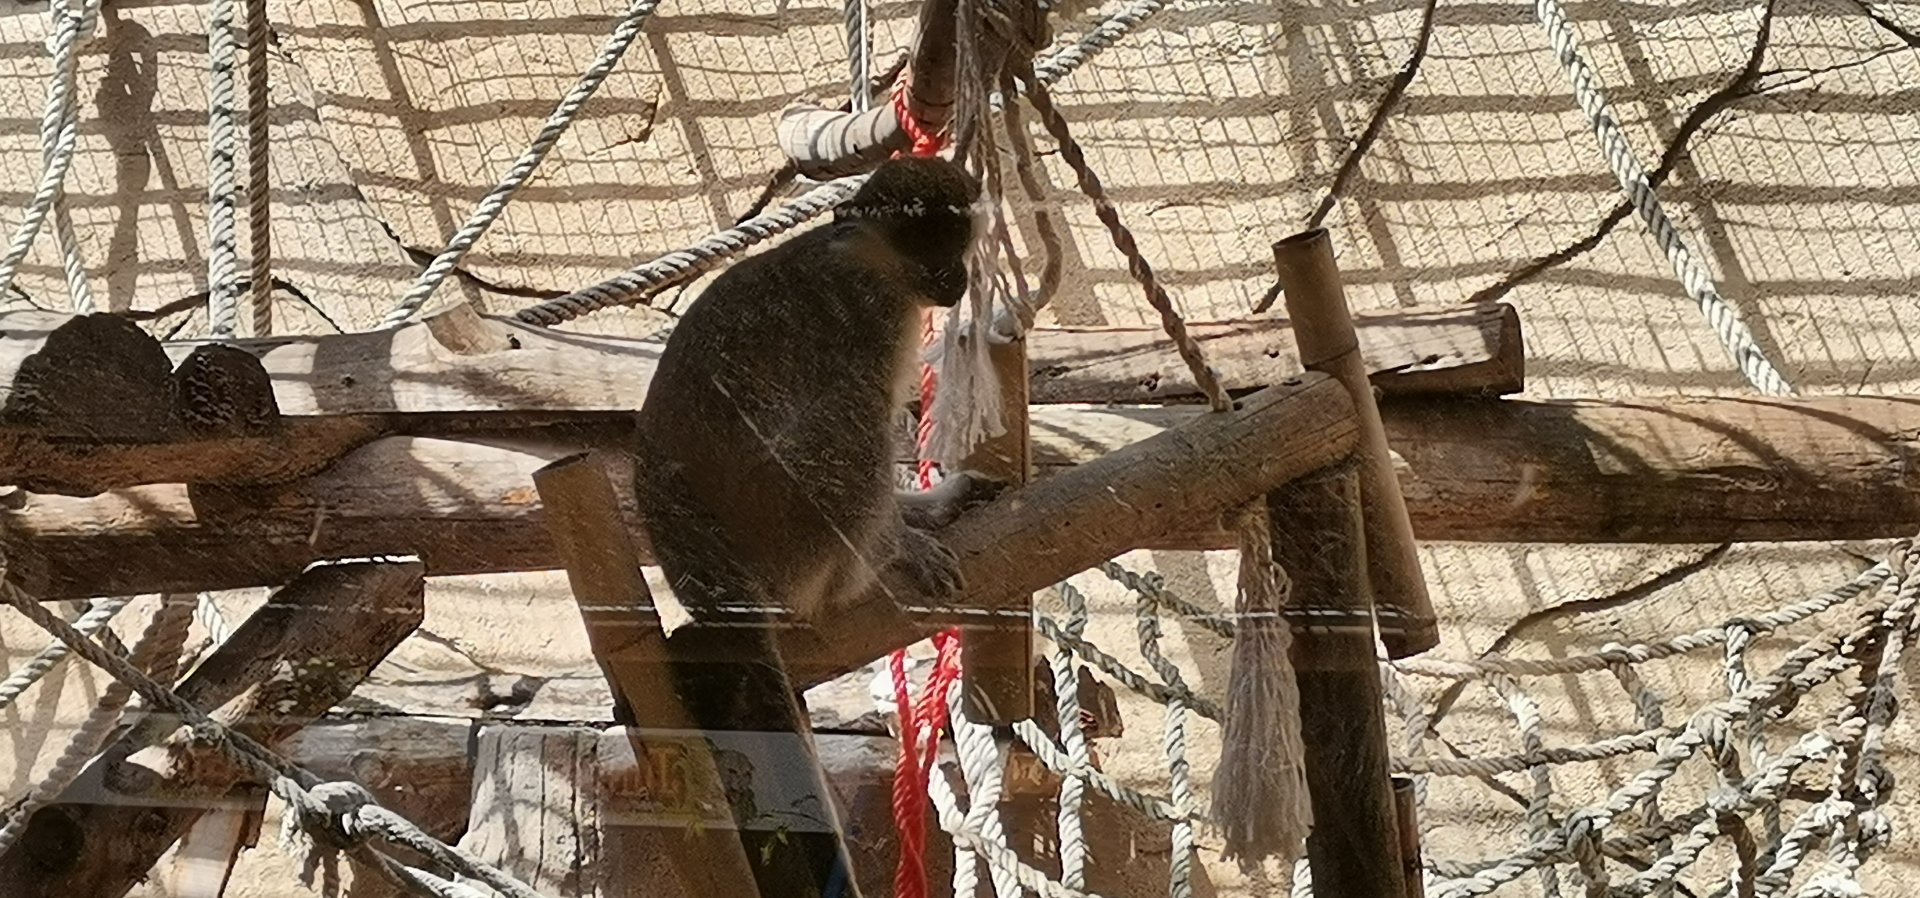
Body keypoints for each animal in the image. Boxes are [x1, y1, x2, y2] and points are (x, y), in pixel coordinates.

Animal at [630, 155, 1006, 898]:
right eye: (924, 249)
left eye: (955, 245)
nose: (951, 279)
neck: (871, 263)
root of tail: (712, 581)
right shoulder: (867, 316)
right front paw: (903, 543)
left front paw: (926, 509)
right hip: (783, 530)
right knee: (850, 413)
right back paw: (866, 573)